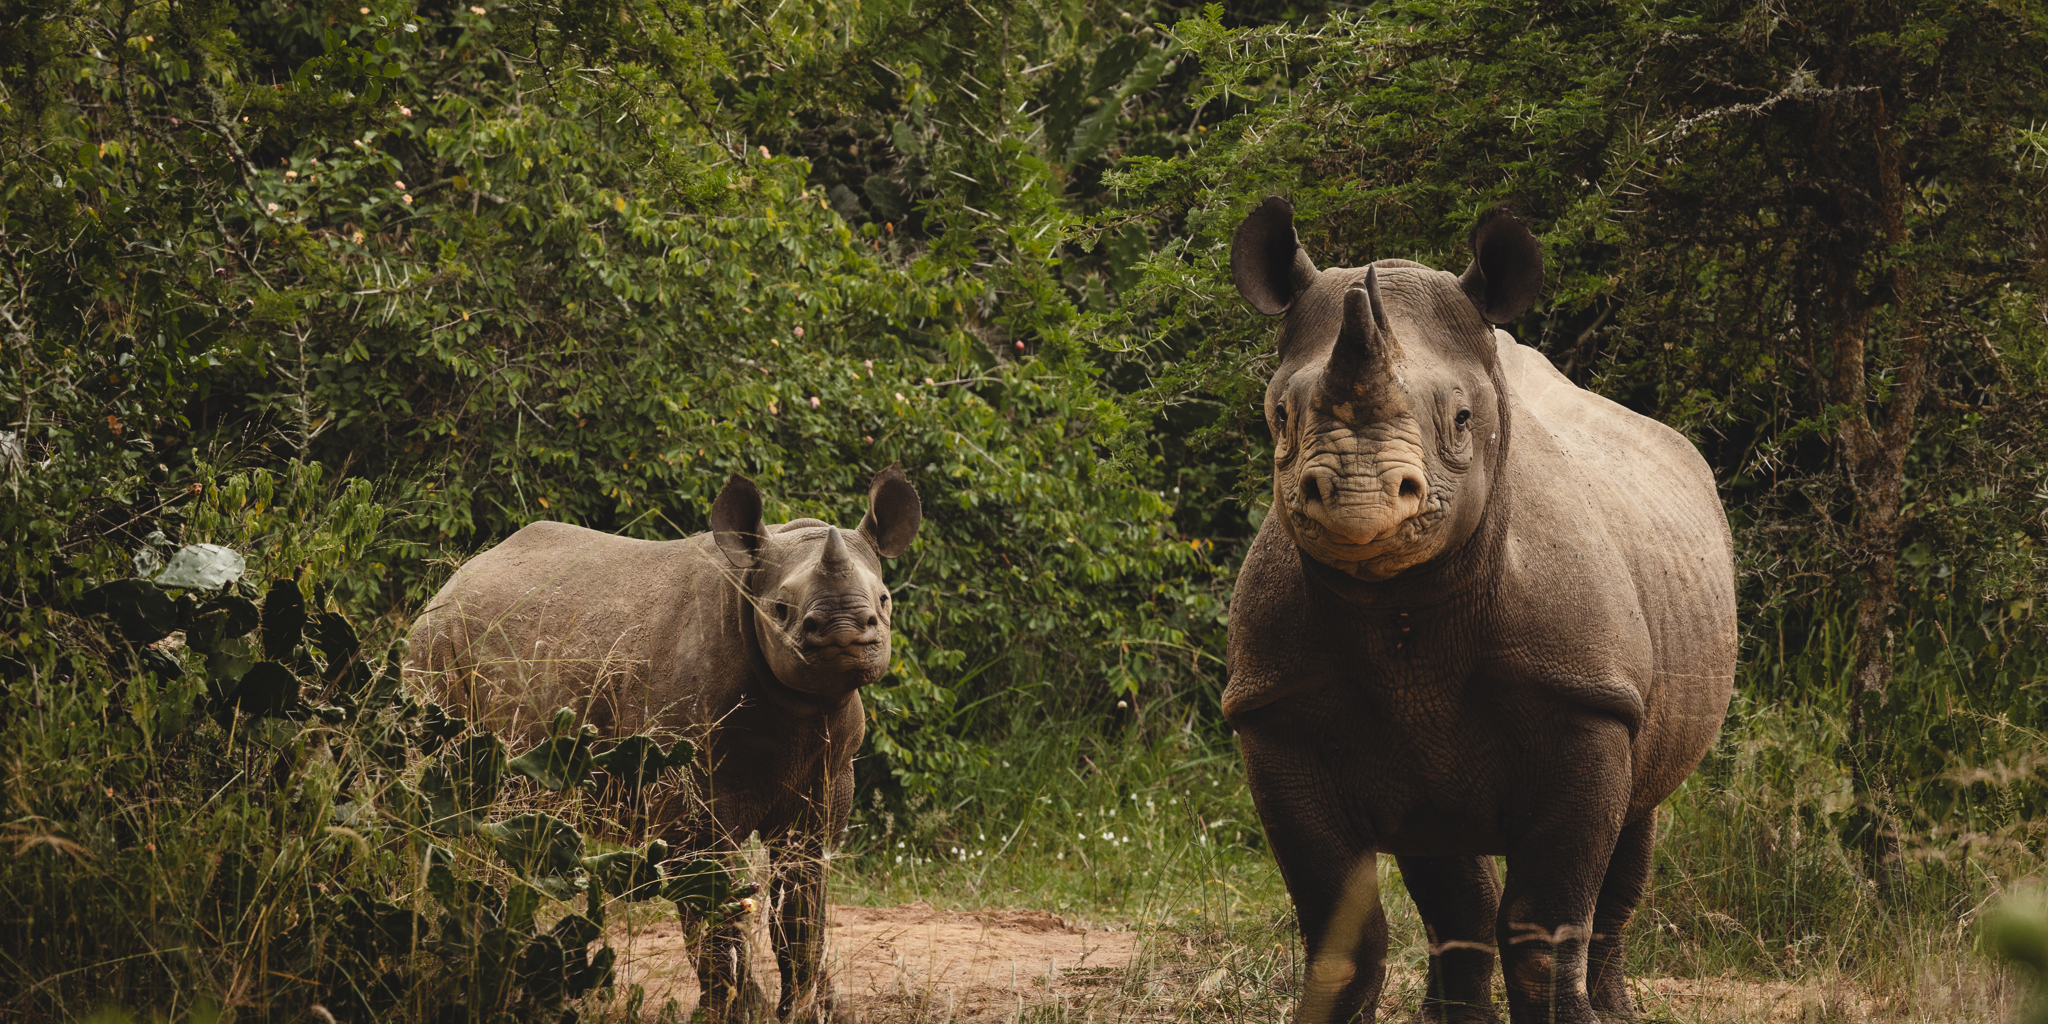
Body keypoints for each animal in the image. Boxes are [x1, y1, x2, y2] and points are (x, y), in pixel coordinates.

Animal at [405, 469, 922, 1022]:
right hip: (435, 650)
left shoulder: (827, 775)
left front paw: (812, 1010)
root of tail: (450, 584)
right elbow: (711, 902)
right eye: (781, 610)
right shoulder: (688, 788)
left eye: (885, 600)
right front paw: (736, 1012)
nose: (846, 632)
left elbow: (802, 906)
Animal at [1223, 198, 1736, 1024]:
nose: (1357, 498)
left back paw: (1616, 1010)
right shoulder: (1276, 715)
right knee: (1445, 866)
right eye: (1279, 418)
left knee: (1634, 831)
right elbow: (1341, 929)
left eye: (1462, 420)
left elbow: (1544, 924)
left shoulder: (1588, 704)